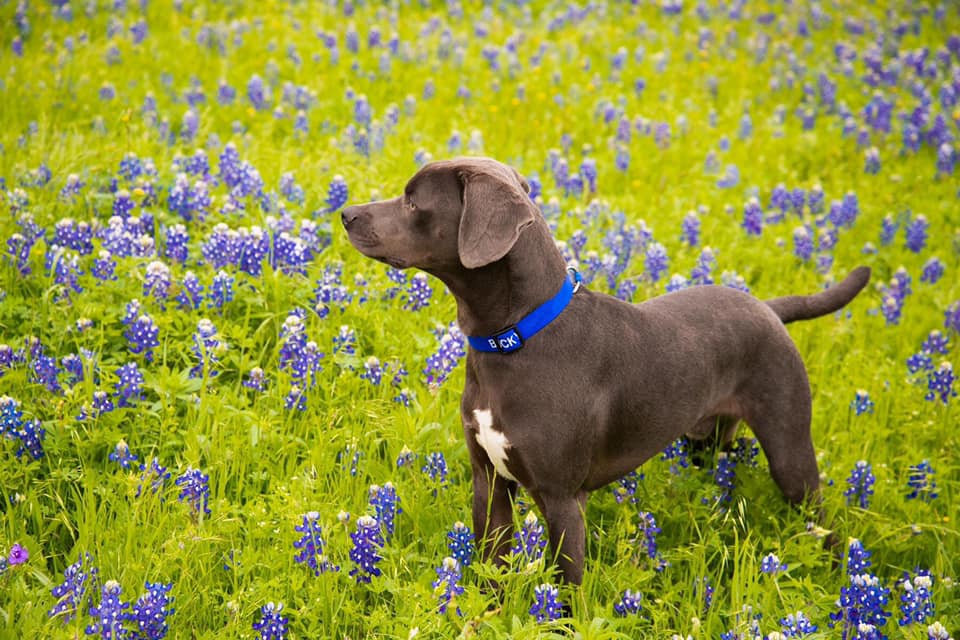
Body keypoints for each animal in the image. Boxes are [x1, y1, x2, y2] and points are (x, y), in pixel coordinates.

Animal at [342, 156, 872, 584]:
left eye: (414, 201)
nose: (345, 213)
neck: (512, 339)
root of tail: (767, 308)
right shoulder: (488, 481)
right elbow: (491, 569)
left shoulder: (561, 499)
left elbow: (567, 588)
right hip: (707, 439)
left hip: (789, 448)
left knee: (824, 520)